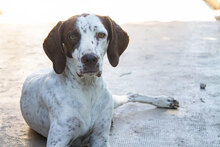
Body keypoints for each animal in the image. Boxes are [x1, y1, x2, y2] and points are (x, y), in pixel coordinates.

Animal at [20, 13, 179, 147]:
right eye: (72, 36)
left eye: (101, 34)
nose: (90, 59)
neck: (87, 89)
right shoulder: (58, 140)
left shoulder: (100, 137)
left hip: (111, 101)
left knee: (131, 94)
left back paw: (165, 101)